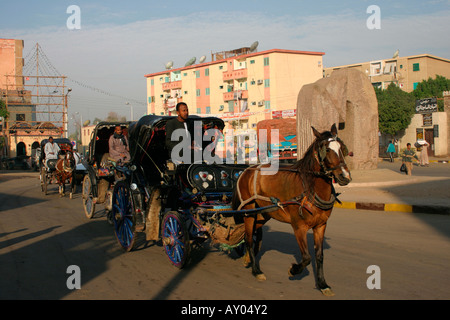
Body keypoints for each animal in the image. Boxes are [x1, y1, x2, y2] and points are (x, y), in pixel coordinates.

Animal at [232, 124, 352, 296]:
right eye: (326, 149)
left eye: (342, 147)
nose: (344, 177)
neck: (310, 188)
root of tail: (246, 170)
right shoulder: (299, 227)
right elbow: (307, 257)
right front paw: (294, 270)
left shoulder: (321, 226)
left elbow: (319, 256)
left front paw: (322, 284)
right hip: (249, 212)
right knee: (248, 238)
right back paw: (256, 270)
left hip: (264, 214)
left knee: (253, 233)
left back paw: (248, 258)